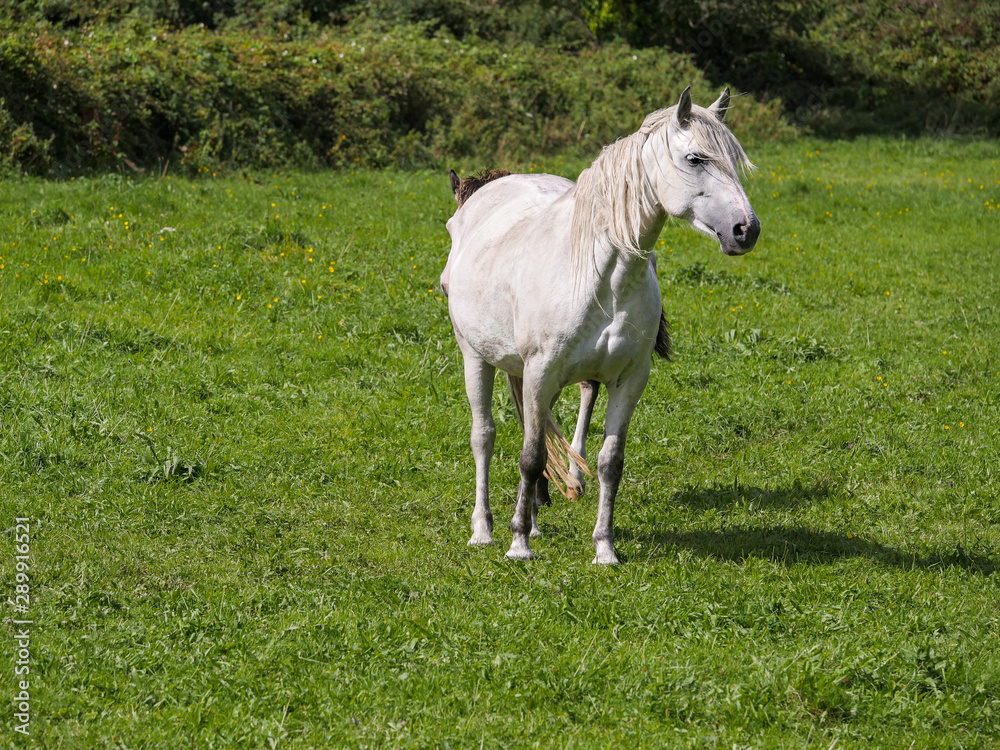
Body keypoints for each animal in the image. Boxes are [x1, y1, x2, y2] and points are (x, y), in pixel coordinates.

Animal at [446, 86, 756, 564]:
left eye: (735, 161)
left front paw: (604, 548)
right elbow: (529, 457)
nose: (746, 229)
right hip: (475, 357)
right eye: (695, 159)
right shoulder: (539, 373)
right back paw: (485, 529)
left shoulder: (630, 380)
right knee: (485, 436)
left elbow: (610, 463)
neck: (603, 277)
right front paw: (518, 546)